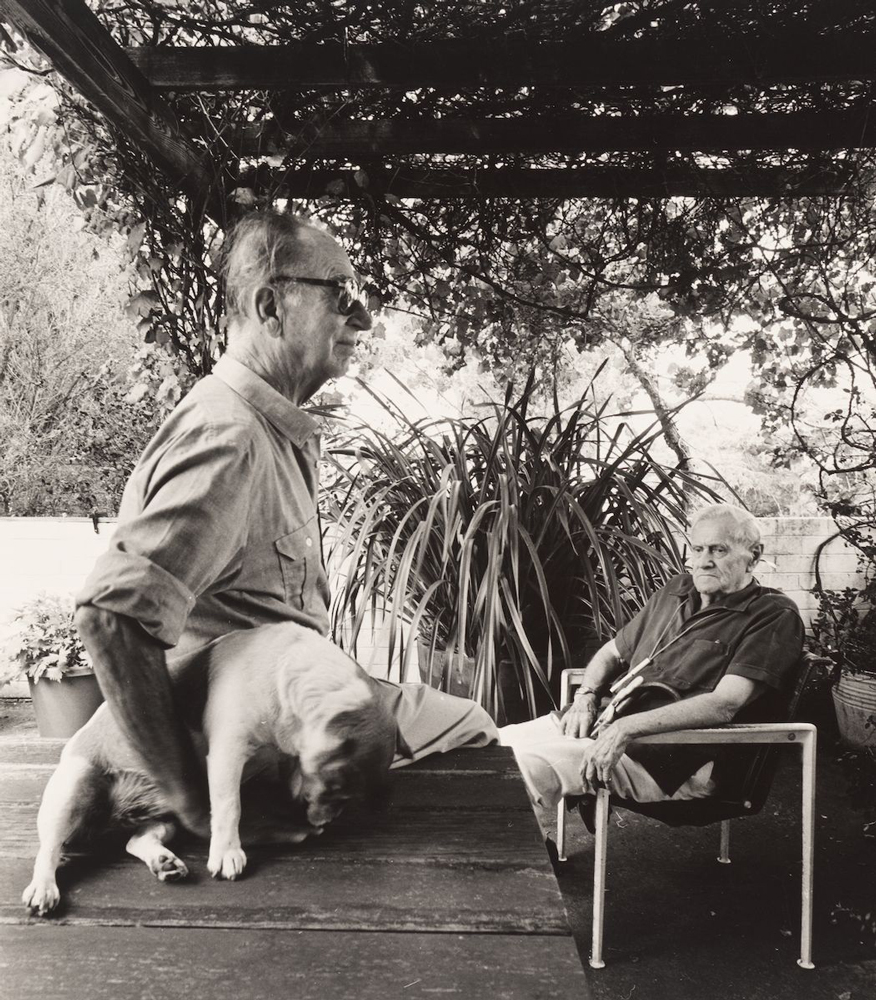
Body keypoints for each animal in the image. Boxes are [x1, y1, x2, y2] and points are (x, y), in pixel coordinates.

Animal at [23, 620, 400, 916]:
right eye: (337, 790)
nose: (320, 823)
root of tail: (111, 818)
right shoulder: (227, 753)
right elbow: (229, 807)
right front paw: (228, 853)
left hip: (165, 819)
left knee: (137, 840)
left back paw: (164, 862)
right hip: (71, 791)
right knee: (49, 850)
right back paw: (43, 887)